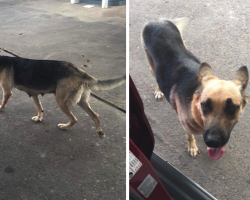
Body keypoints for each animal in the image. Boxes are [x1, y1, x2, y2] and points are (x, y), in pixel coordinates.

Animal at [142, 18, 249, 159]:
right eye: (205, 106)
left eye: (232, 108)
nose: (213, 142)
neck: (195, 106)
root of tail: (156, 20)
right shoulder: (185, 126)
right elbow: (189, 137)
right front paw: (192, 147)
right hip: (151, 66)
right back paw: (159, 90)